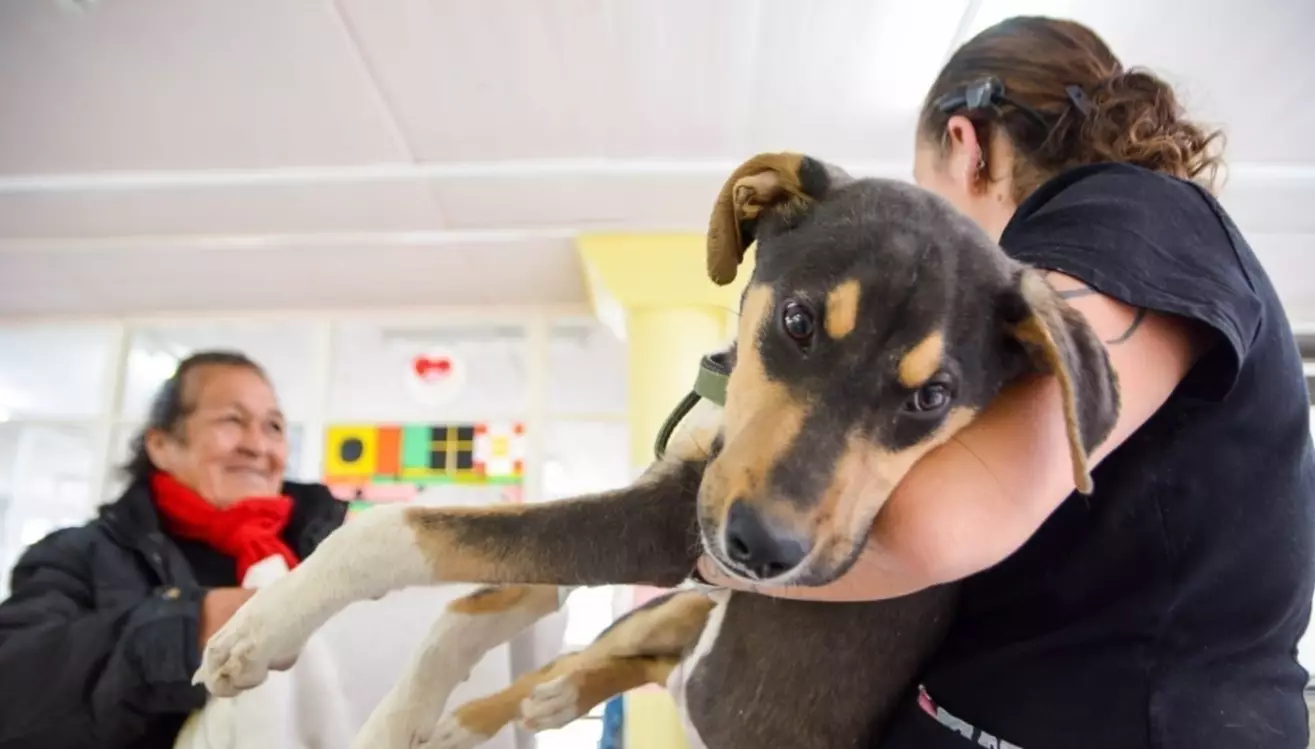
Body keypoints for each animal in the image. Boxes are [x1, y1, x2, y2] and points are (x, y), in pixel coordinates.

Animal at [194, 152, 1120, 749]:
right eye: (797, 322)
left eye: (931, 399)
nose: (763, 551)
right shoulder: (675, 517)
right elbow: (483, 593)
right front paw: (399, 711)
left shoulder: (671, 529)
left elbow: (403, 530)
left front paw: (264, 623)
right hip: (675, 604)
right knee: (599, 648)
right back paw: (516, 702)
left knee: (630, 660)